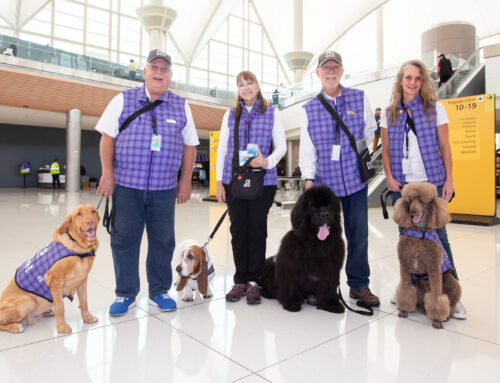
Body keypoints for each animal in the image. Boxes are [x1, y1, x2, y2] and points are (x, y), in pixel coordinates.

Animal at [260, 186, 346, 316]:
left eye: (329, 206)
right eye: (313, 207)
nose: (325, 215)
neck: (316, 244)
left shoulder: (330, 270)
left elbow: (328, 288)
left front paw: (332, 304)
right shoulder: (290, 267)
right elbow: (291, 285)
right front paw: (291, 303)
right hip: (269, 266)